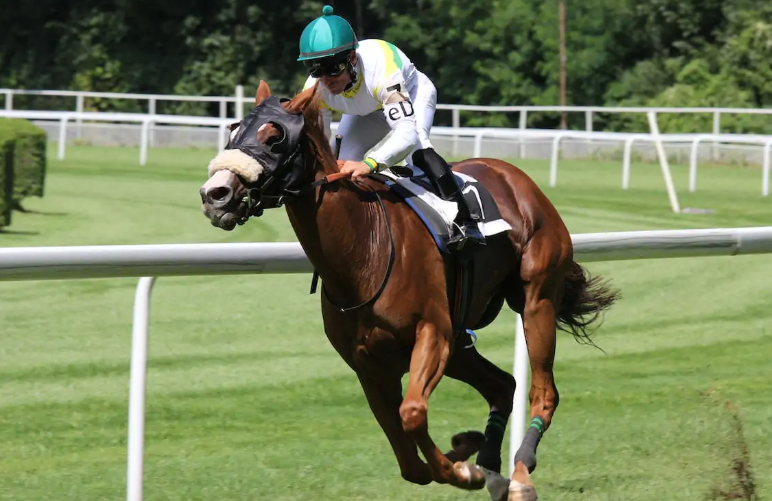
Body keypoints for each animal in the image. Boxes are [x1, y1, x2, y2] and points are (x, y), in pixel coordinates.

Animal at [199, 80, 620, 501]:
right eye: (233, 131)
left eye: (274, 137)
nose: (214, 194)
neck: (364, 249)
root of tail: (515, 175)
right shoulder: (368, 365)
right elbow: (408, 460)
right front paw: (465, 454)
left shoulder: (432, 333)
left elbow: (412, 414)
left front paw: (463, 471)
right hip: (460, 343)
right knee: (503, 385)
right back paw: (490, 467)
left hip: (535, 300)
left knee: (543, 392)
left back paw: (518, 475)